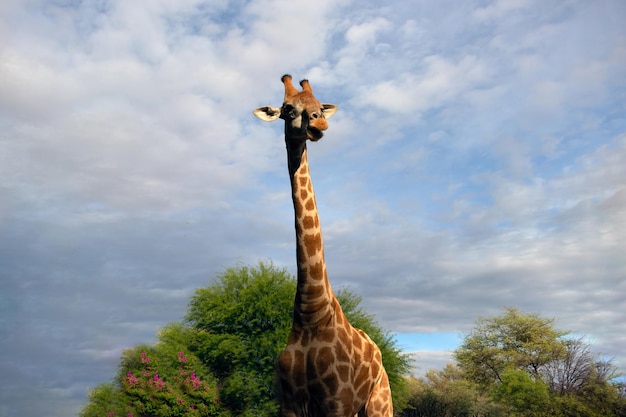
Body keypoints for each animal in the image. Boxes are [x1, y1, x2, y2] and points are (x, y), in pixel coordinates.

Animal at [252, 75, 390, 416]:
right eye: (288, 109)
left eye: (317, 105)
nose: (320, 123)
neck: (310, 313)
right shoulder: (290, 403)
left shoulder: (337, 400)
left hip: (379, 400)